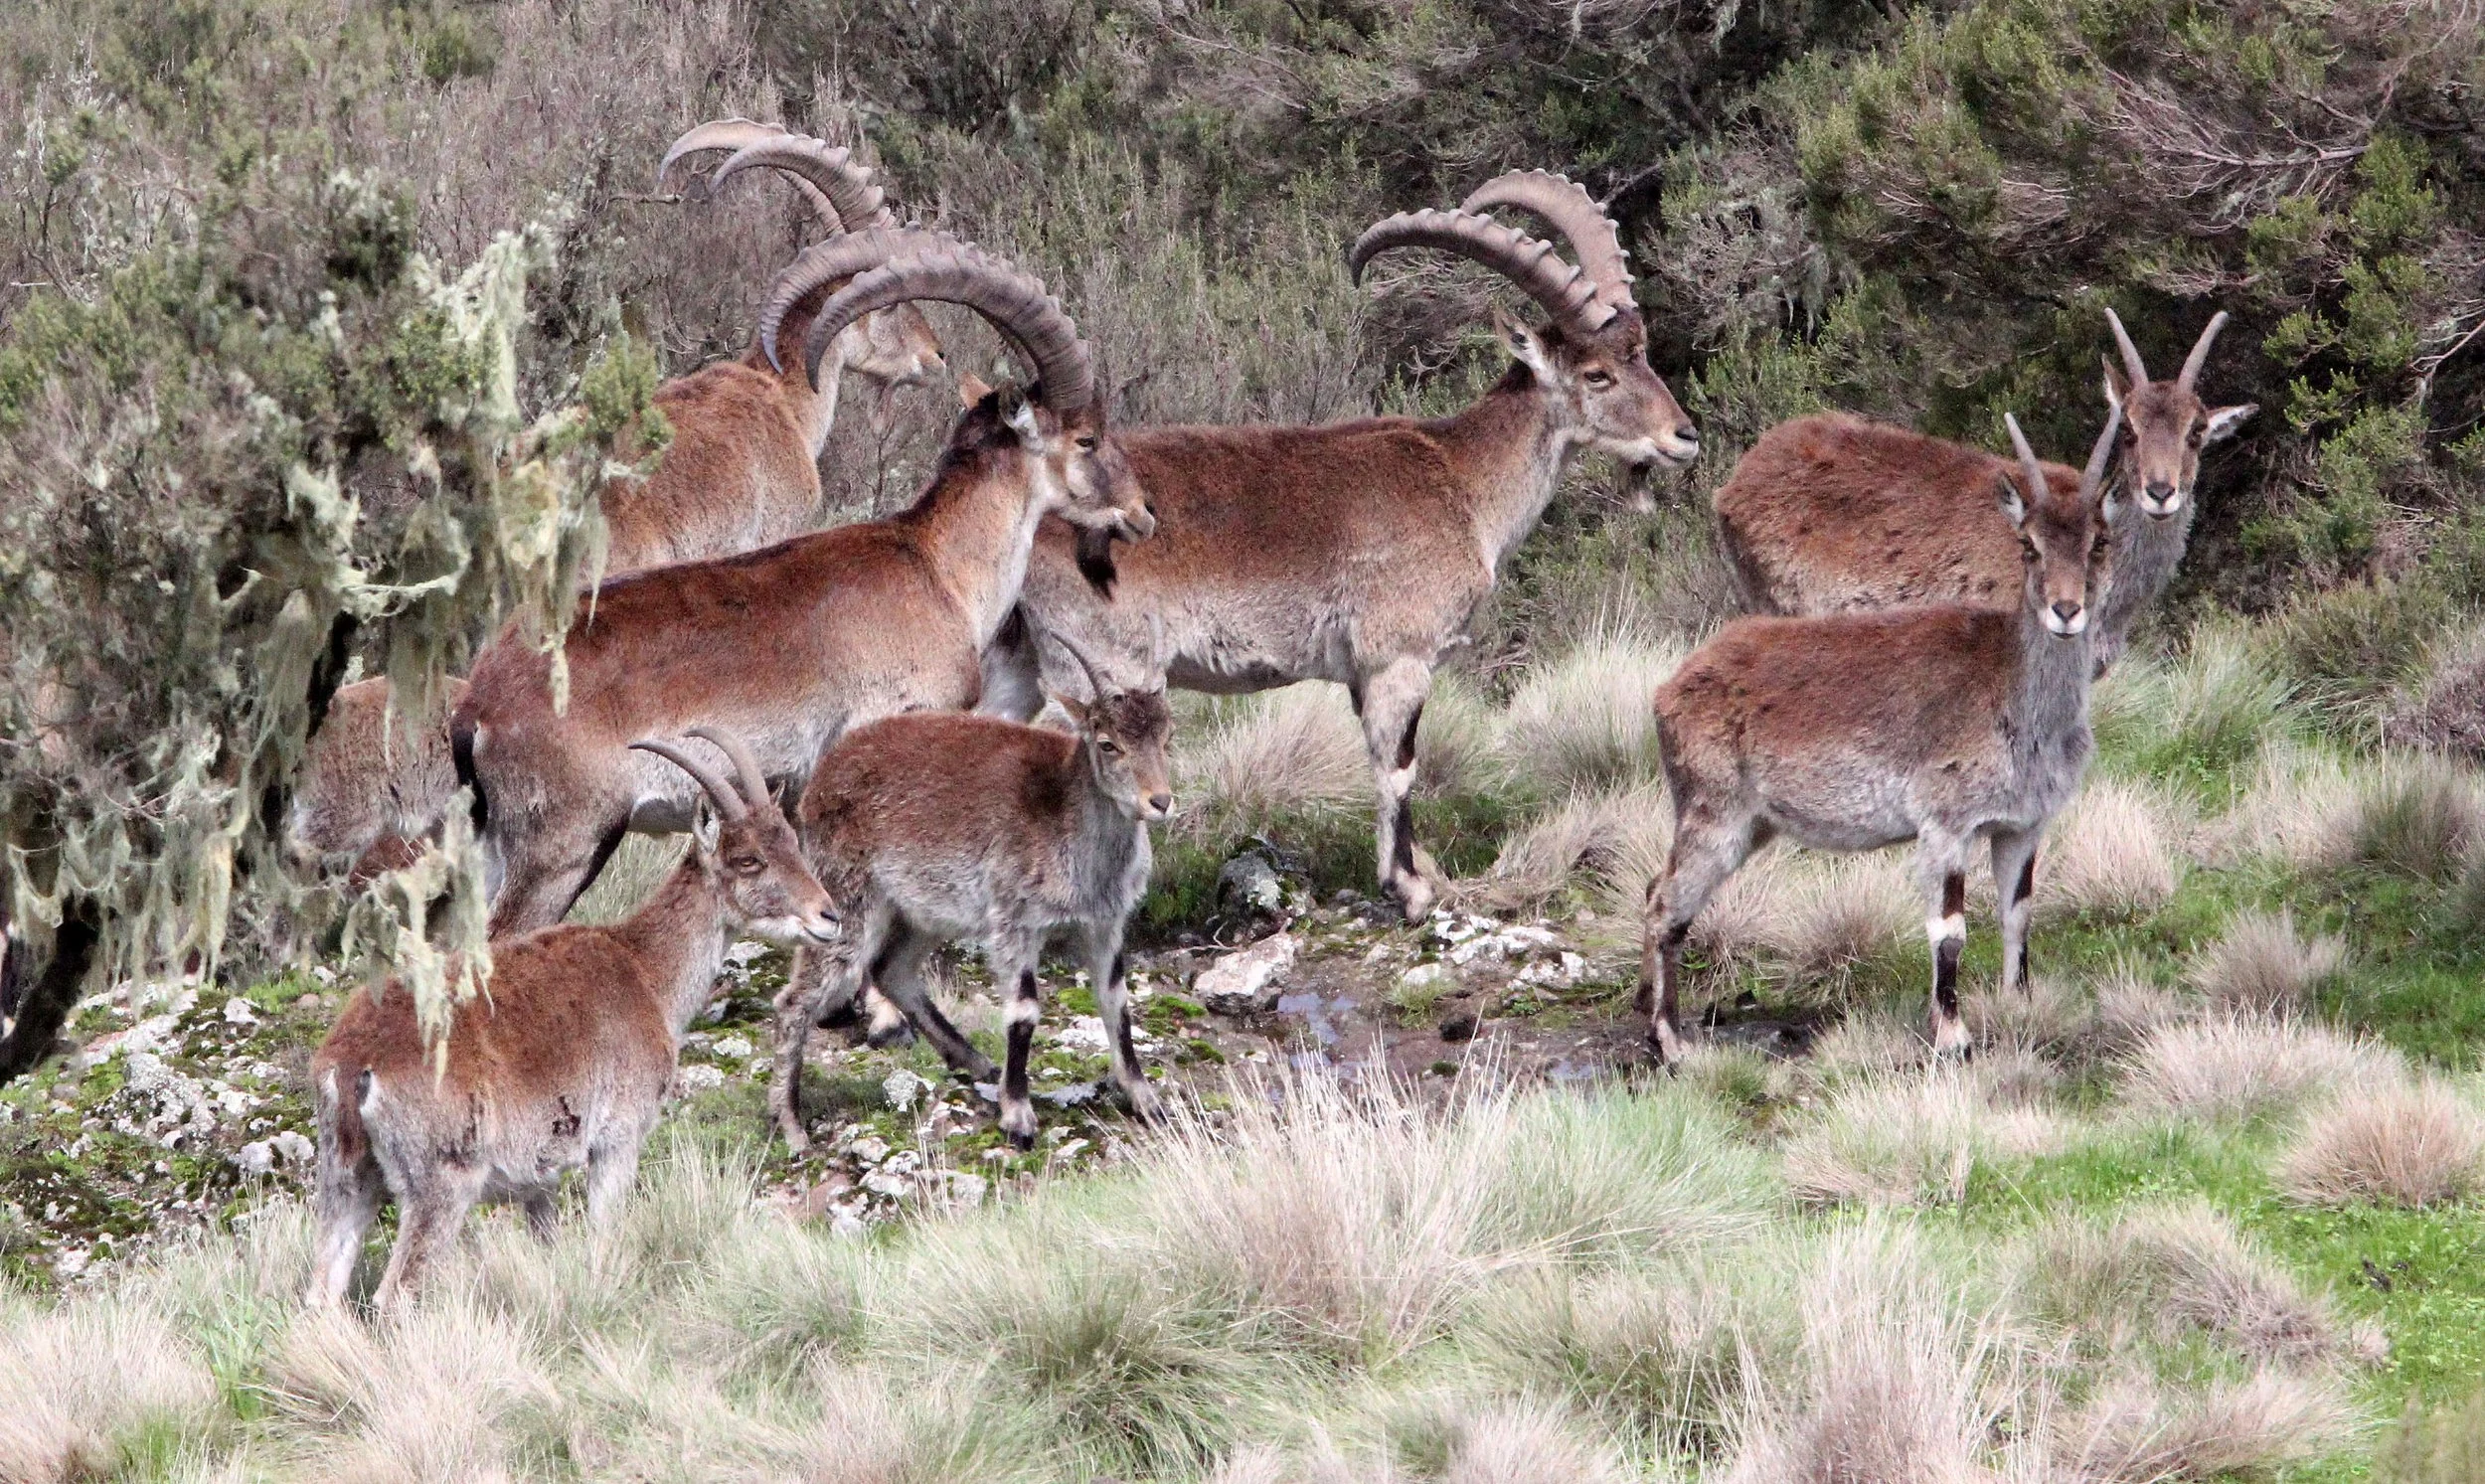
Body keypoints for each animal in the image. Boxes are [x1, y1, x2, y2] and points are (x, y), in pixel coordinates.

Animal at [305, 728, 835, 1310]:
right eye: (748, 860)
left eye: (791, 842)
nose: (828, 916)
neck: (645, 971)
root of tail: (354, 1064)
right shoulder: (617, 1140)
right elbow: (605, 1232)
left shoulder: (539, 1178)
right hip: (441, 1181)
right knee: (396, 1291)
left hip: (347, 1178)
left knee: (322, 1291)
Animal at [454, 235, 1155, 935]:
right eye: (1086, 437)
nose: (1142, 512)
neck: (937, 570)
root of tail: (477, 707)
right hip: (563, 849)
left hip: (493, 850)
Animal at [770, 633, 1173, 1150]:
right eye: (1108, 744)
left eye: (1167, 737)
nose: (1160, 801)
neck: (1066, 816)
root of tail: (821, 778)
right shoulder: (1015, 920)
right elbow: (1024, 1010)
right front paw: (1018, 1116)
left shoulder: (1105, 924)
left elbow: (1115, 1002)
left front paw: (1146, 1099)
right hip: (847, 901)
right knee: (796, 1000)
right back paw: (792, 1124)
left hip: (925, 909)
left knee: (892, 970)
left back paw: (978, 1062)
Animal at [985, 172, 1699, 920]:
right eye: (1596, 374)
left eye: (1641, 352)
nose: (1684, 436)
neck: (1462, 482)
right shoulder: (1398, 659)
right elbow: (1398, 769)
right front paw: (1410, 888)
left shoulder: (1363, 674)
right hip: (1098, 666)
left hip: (1017, 661)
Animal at [1639, 407, 2123, 1064]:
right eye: (2028, 545)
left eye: (2099, 541)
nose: (2066, 611)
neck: (2015, 697)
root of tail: (1670, 690)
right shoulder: (1945, 823)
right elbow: (1949, 930)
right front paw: (1952, 1035)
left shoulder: (2022, 825)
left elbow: (2017, 915)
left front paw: (2020, 1005)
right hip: (1713, 812)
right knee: (1665, 905)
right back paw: (1670, 1039)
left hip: (1751, 825)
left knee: (1654, 890)